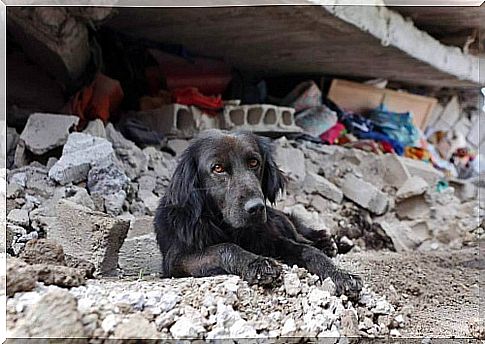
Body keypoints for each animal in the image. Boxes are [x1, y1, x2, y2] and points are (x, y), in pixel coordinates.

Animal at [153, 130, 362, 296]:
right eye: (218, 168)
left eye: (254, 162)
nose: (256, 208)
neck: (231, 229)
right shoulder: (177, 260)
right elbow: (225, 248)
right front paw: (258, 263)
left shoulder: (273, 240)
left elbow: (308, 251)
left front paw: (340, 274)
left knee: (302, 235)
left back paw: (328, 243)